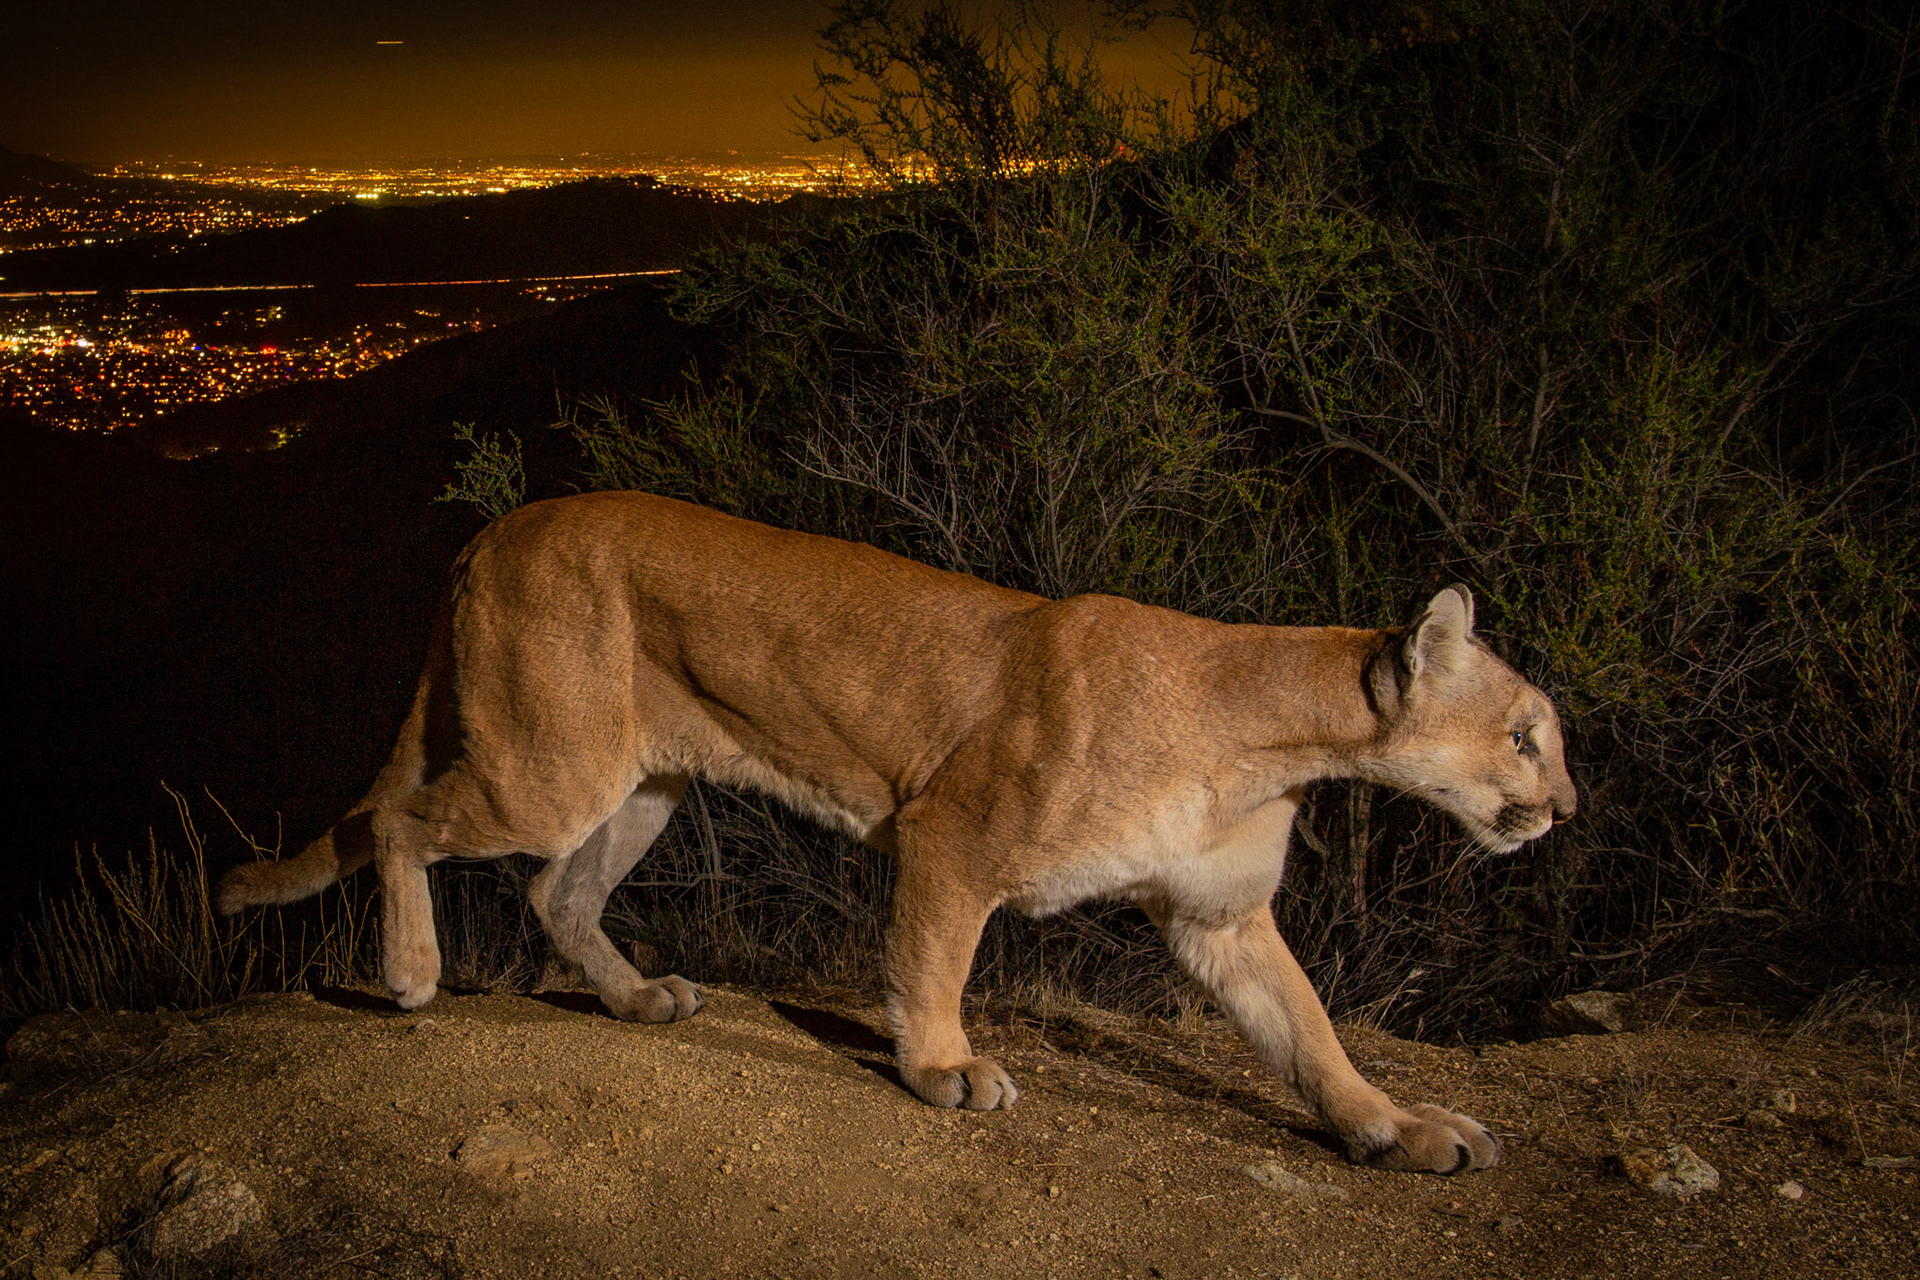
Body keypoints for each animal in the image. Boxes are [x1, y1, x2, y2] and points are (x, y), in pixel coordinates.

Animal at [218, 491, 1575, 1174]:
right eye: (1524, 735)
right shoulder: (954, 836)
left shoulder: (1218, 916)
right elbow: (934, 965)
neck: (1267, 738)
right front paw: (942, 1070)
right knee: (400, 817)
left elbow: (1310, 1032)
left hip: (643, 781)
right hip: (546, 764)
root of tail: (496, 524)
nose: (1567, 806)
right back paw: (411, 972)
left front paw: (1397, 1126)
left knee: (561, 890)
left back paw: (639, 996)